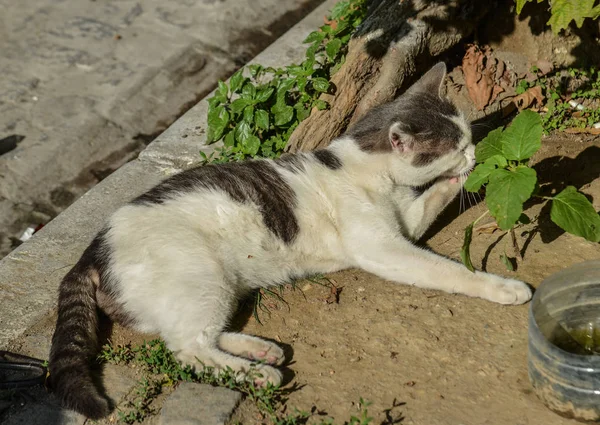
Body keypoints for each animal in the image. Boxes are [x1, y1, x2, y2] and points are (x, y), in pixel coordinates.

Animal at [49, 63, 532, 418]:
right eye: (457, 146)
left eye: (467, 137)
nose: (473, 153)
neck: (368, 172)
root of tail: (93, 248)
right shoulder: (385, 250)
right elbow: (450, 271)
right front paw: (504, 286)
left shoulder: (408, 224)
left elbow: (432, 198)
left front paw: (459, 180)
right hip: (200, 275)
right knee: (188, 348)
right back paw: (256, 375)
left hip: (215, 289)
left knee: (194, 334)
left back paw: (260, 351)